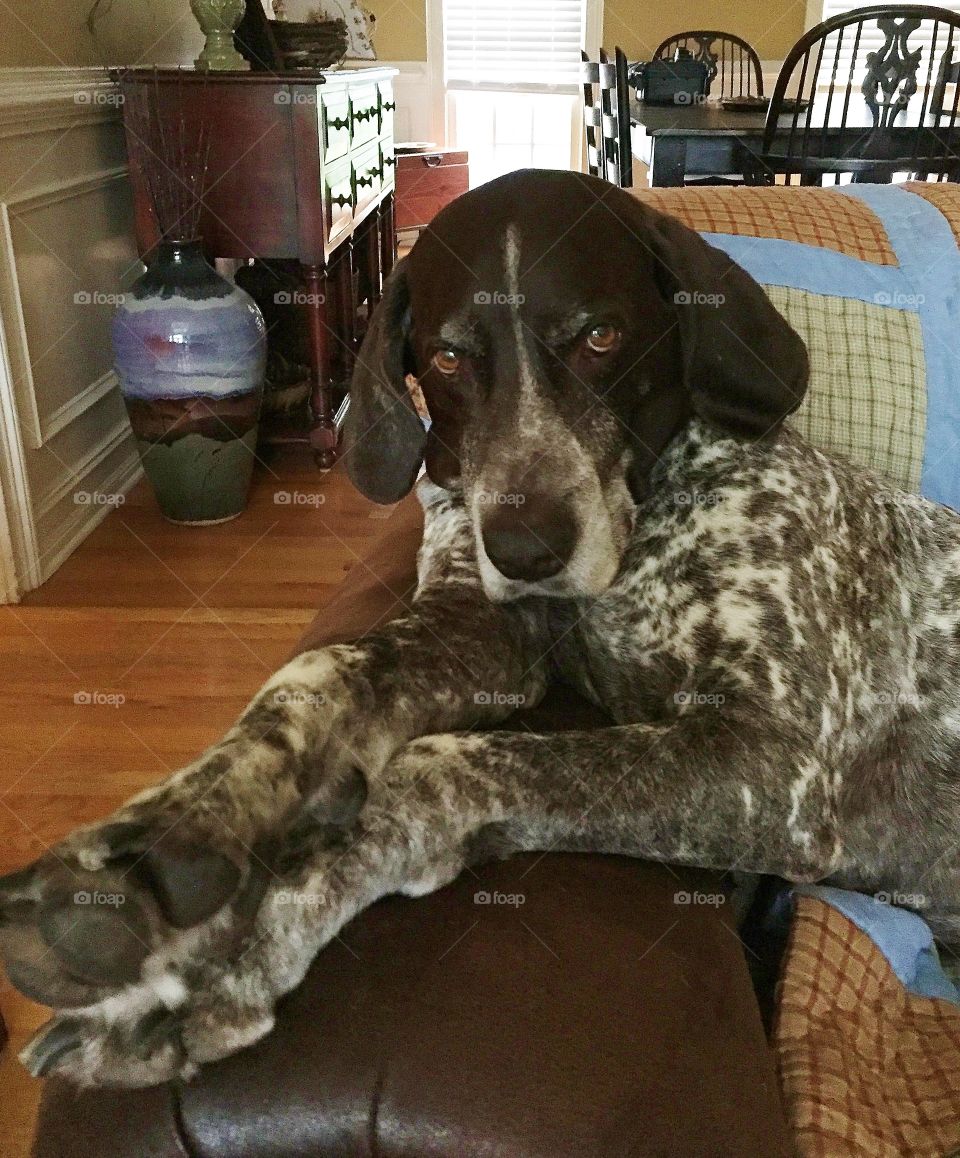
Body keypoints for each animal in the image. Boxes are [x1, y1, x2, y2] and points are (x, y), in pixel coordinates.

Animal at [1, 171, 958, 1083]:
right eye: (451, 357)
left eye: (599, 338)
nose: (527, 547)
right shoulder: (475, 628)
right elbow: (317, 677)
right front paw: (169, 838)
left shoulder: (772, 764)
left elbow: (427, 771)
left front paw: (219, 957)